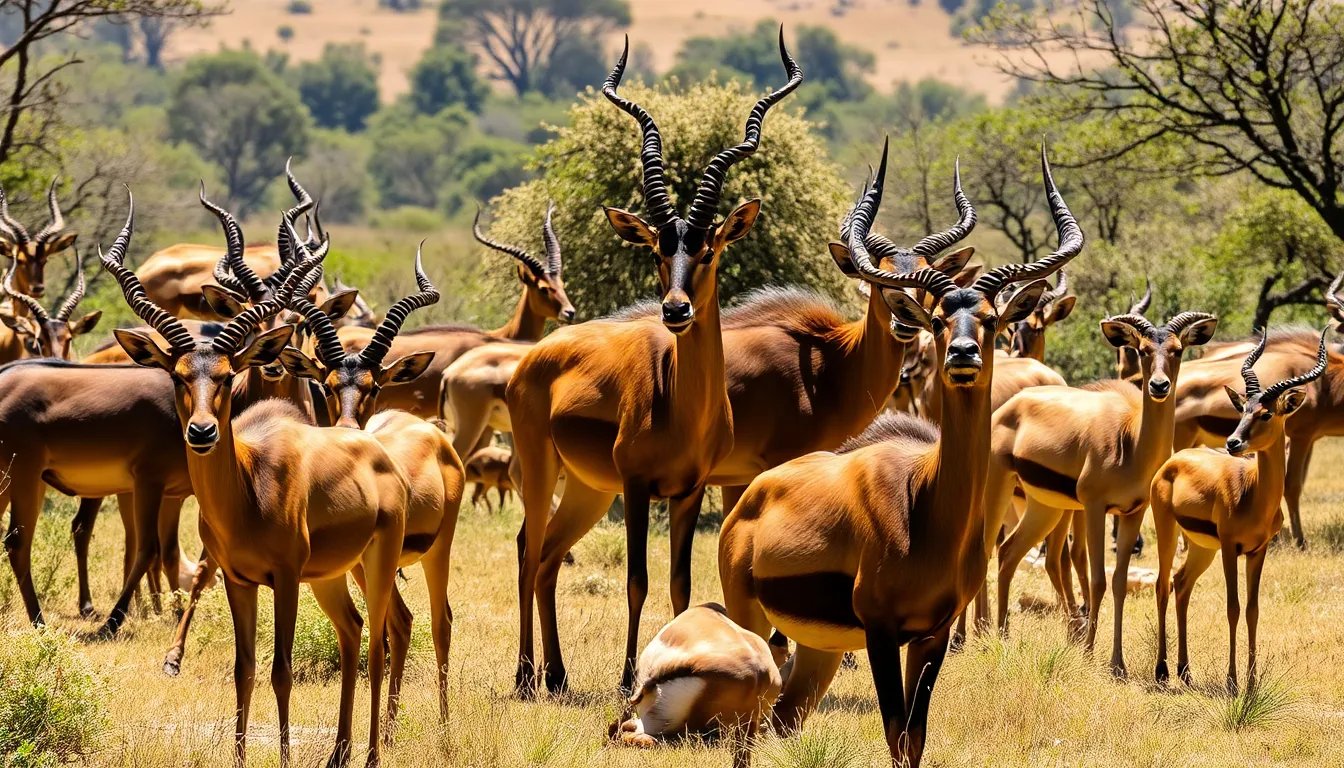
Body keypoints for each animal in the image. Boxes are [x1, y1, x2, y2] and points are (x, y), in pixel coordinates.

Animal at [102, 191, 410, 768]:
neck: (249, 489)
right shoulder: (240, 580)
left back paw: (373, 754)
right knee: (355, 631)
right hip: (331, 576)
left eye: (225, 375)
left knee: (382, 639)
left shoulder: (285, 579)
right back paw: (339, 753)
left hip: (375, 565)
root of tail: (370, 448)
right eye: (179, 375)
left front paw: (285, 756)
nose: (201, 431)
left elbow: (281, 672)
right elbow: (243, 671)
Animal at [507, 32, 800, 694]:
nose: (675, 309)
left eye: (709, 247)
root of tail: (534, 359)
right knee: (527, 546)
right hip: (542, 470)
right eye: (658, 250)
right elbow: (637, 580)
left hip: (589, 488)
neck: (683, 407)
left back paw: (557, 676)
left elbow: (680, 585)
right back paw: (525, 675)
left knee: (548, 556)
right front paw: (625, 678)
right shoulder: (640, 487)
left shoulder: (689, 491)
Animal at [718, 145, 1082, 767]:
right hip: (753, 620)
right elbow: (894, 732)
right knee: (746, 727)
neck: (927, 504)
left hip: (818, 649)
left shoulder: (931, 635)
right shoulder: (883, 632)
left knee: (779, 718)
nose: (961, 355)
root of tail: (753, 501)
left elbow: (916, 736)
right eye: (937, 317)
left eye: (990, 319)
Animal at [986, 306, 1218, 676]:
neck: (1130, 443)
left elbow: (1120, 582)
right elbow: (1097, 581)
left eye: (1178, 350)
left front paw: (1117, 663)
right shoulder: (1095, 508)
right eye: (1143, 350)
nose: (1159, 385)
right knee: (986, 551)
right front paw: (1088, 653)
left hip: (1046, 507)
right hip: (999, 488)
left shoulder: (1133, 512)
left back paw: (1004, 635)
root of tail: (1014, 403)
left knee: (1009, 552)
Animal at [1150, 329, 1328, 693]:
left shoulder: (1258, 551)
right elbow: (1232, 607)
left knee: (1181, 584)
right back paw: (1161, 671)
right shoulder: (1231, 549)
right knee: (1162, 585)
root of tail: (1174, 461)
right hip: (1168, 532)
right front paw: (1233, 681)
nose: (1233, 443)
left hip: (1202, 547)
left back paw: (1185, 672)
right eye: (1243, 408)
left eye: (1266, 413)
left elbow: (1252, 610)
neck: (1254, 494)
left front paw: (1252, 682)